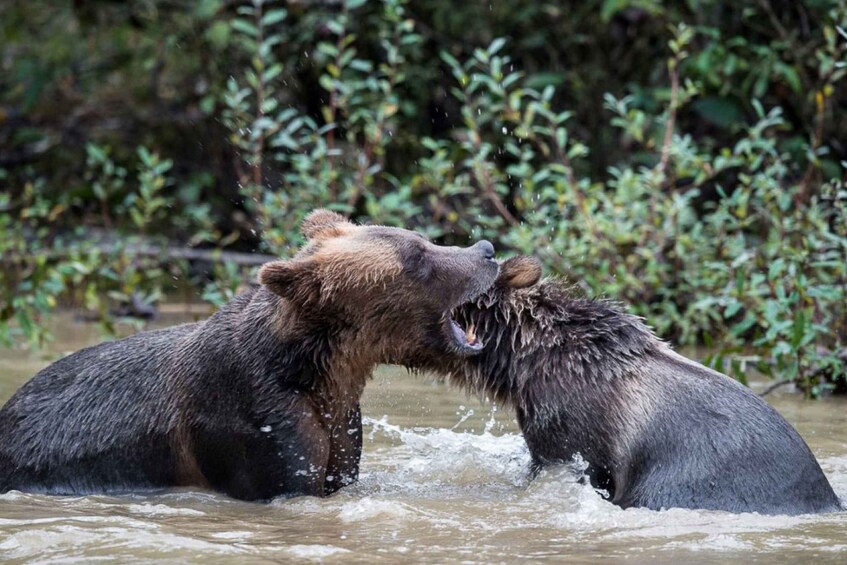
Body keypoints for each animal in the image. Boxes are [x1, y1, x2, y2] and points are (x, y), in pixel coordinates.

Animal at [0, 210, 500, 498]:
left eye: (423, 239)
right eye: (416, 258)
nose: (486, 249)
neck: (320, 371)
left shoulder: (341, 420)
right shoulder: (255, 418)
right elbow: (283, 476)